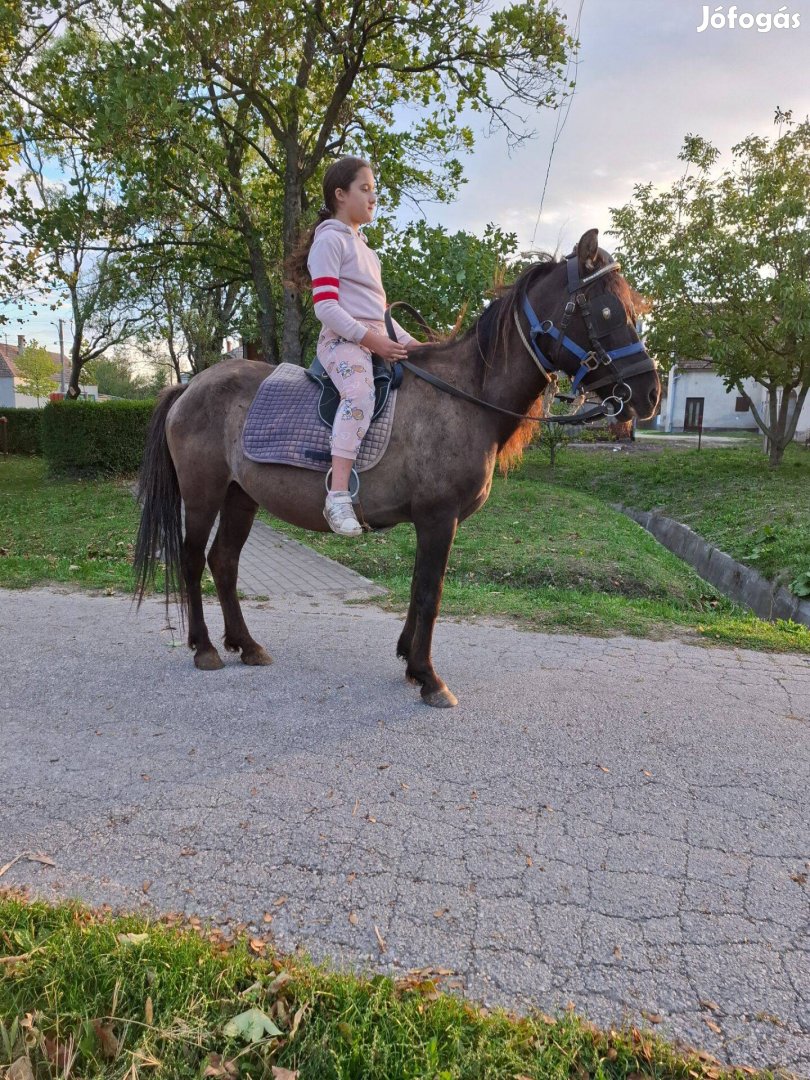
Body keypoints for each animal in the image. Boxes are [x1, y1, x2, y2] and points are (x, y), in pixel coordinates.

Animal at [136, 230, 660, 708]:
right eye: (608, 311)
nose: (649, 392)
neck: (465, 397)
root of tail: (189, 387)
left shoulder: (432, 523)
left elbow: (417, 589)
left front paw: (410, 660)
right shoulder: (438, 518)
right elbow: (430, 592)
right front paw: (428, 677)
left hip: (240, 496)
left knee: (223, 562)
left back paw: (245, 644)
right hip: (202, 494)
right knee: (191, 559)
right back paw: (204, 647)